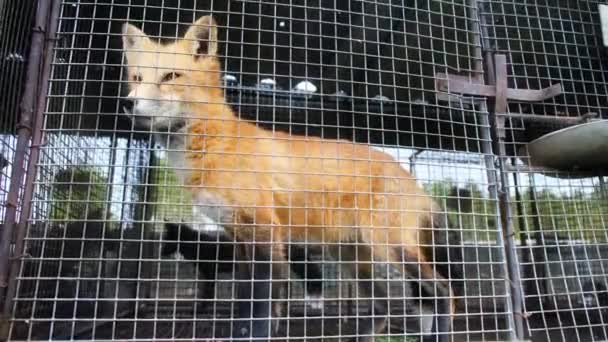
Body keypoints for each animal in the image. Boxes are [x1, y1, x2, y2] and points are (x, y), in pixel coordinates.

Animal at [122, 16, 456, 342]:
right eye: (137, 78)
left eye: (170, 76)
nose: (128, 103)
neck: (215, 145)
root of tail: (407, 174)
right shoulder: (239, 238)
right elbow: (246, 309)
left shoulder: (265, 232)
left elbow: (262, 312)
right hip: (351, 256)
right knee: (382, 306)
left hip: (389, 246)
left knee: (442, 291)